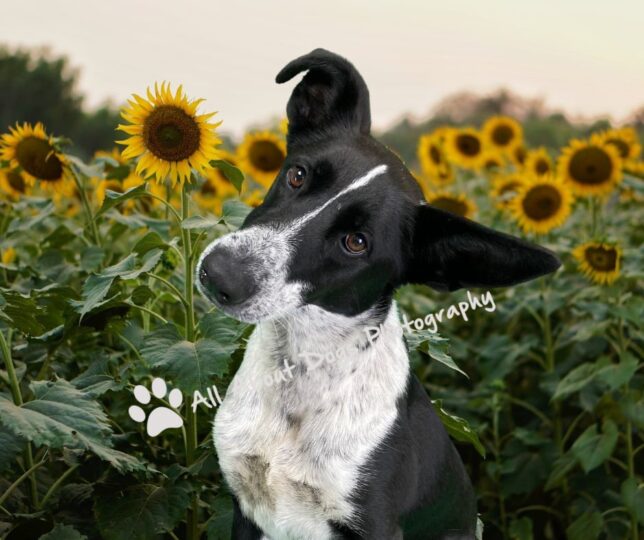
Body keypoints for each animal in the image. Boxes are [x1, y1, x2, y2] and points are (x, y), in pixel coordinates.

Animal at [195, 49, 560, 540]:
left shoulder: (373, 523)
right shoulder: (246, 509)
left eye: (356, 242)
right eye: (296, 175)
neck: (300, 372)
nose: (218, 274)